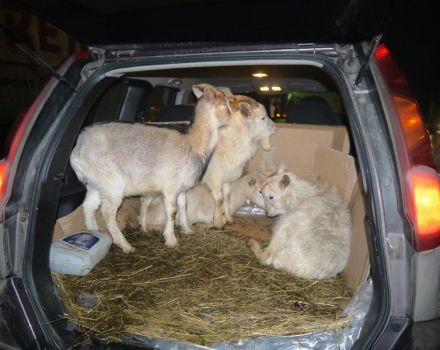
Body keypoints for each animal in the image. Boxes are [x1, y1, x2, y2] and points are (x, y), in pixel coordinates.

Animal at [69, 83, 230, 253]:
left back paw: (95, 232)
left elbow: (183, 205)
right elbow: (172, 211)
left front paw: (187, 230)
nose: (233, 117)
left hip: (95, 183)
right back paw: (126, 246)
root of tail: (77, 150)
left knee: (89, 206)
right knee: (107, 212)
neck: (193, 143)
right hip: (111, 181)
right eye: (225, 103)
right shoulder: (170, 185)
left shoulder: (180, 186)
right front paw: (171, 240)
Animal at [202, 94, 276, 228]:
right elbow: (219, 200)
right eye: (263, 118)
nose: (276, 128)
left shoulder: (225, 179)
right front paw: (218, 223)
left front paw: (228, 219)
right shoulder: (213, 180)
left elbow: (227, 197)